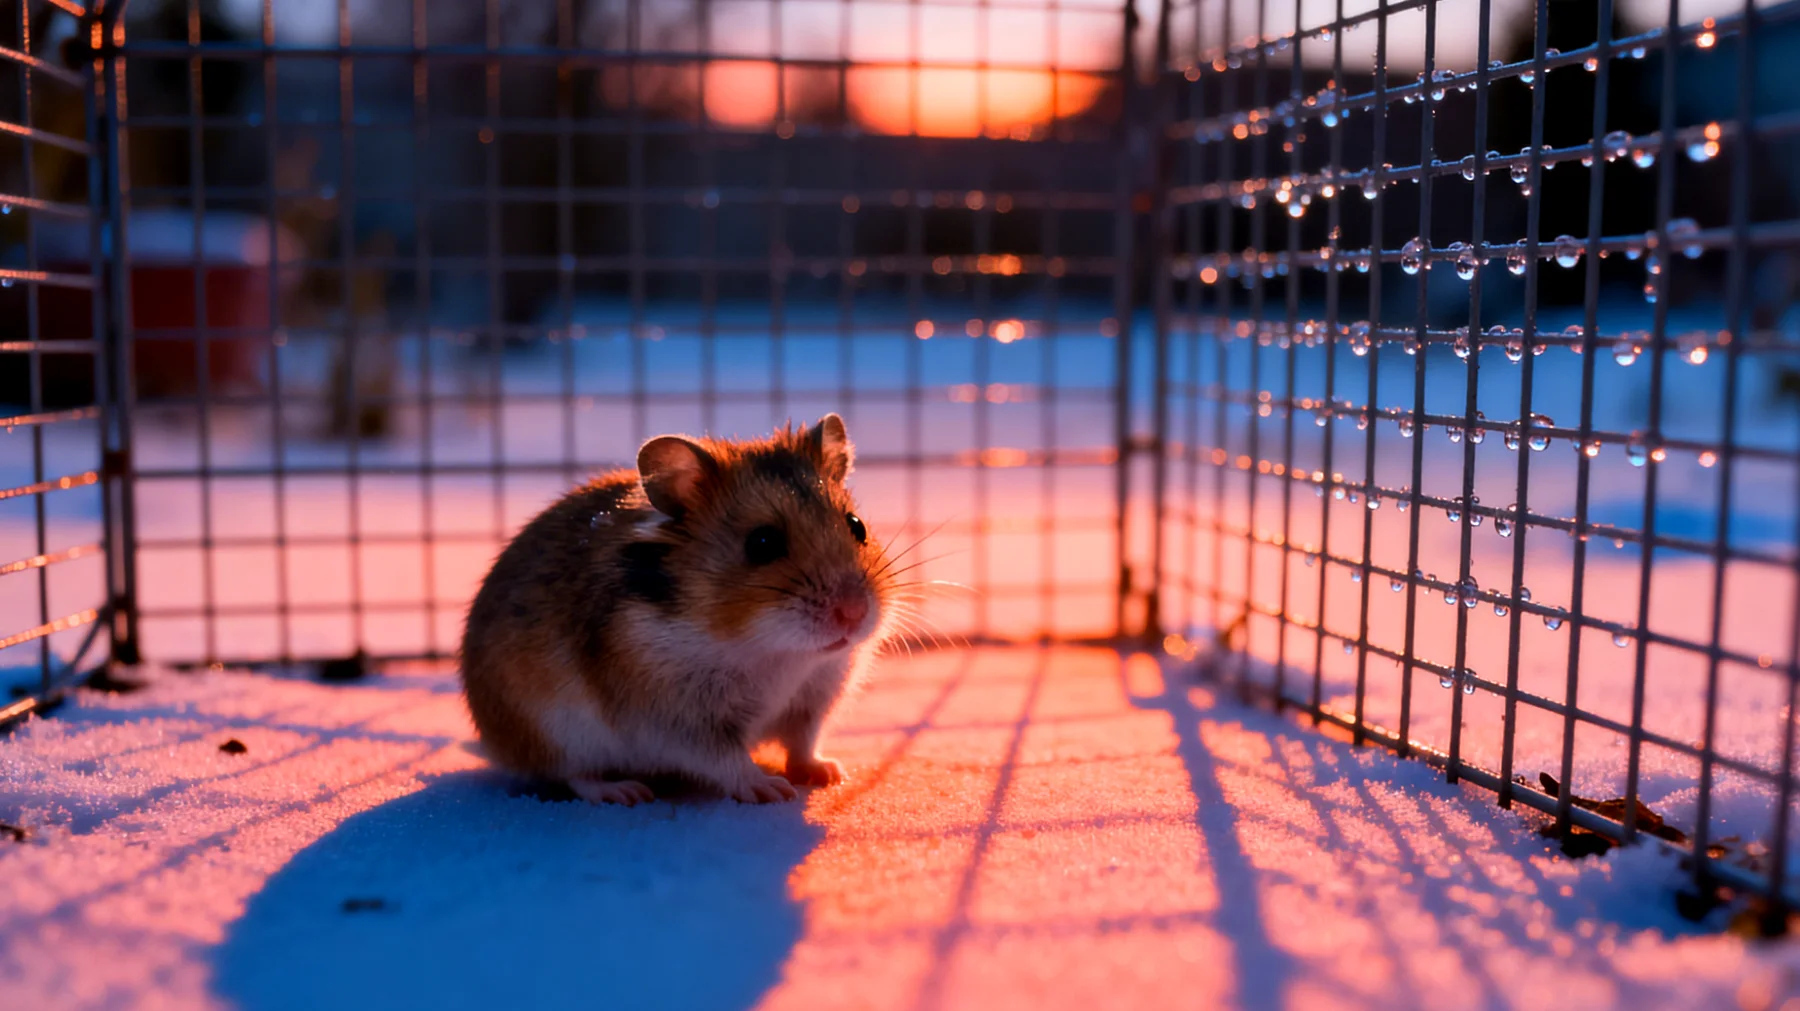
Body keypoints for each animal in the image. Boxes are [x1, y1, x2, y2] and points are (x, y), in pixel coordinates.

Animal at [460, 414, 896, 805]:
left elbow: (802, 744)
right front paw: (771, 790)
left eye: (857, 525)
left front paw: (829, 773)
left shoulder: (813, 698)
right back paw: (625, 792)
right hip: (555, 732)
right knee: (575, 775)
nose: (854, 613)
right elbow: (726, 760)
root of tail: (495, 744)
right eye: (762, 543)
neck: (774, 652)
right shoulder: (678, 720)